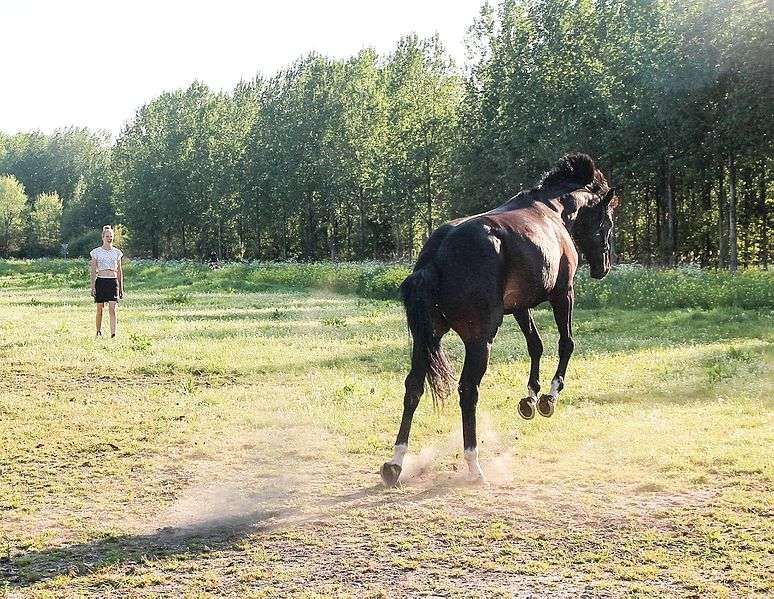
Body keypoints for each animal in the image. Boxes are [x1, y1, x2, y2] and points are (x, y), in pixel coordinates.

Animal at [380, 153, 619, 487]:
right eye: (607, 221)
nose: (603, 267)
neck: (552, 209)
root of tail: (435, 255)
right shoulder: (563, 294)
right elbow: (566, 344)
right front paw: (549, 398)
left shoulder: (520, 306)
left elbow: (535, 345)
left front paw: (530, 399)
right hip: (480, 341)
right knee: (468, 390)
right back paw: (473, 465)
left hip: (427, 338)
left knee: (413, 387)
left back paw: (395, 463)